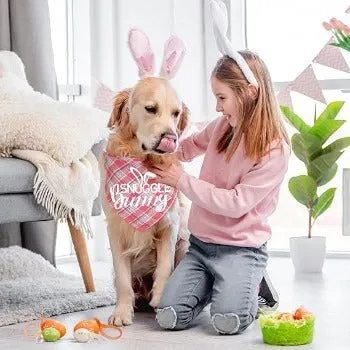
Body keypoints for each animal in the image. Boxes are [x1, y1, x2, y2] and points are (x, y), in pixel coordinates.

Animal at [100, 28, 190, 326]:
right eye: (151, 109)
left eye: (176, 114)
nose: (170, 138)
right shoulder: (115, 229)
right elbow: (123, 278)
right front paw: (121, 311)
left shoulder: (170, 225)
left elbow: (164, 267)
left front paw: (161, 299)